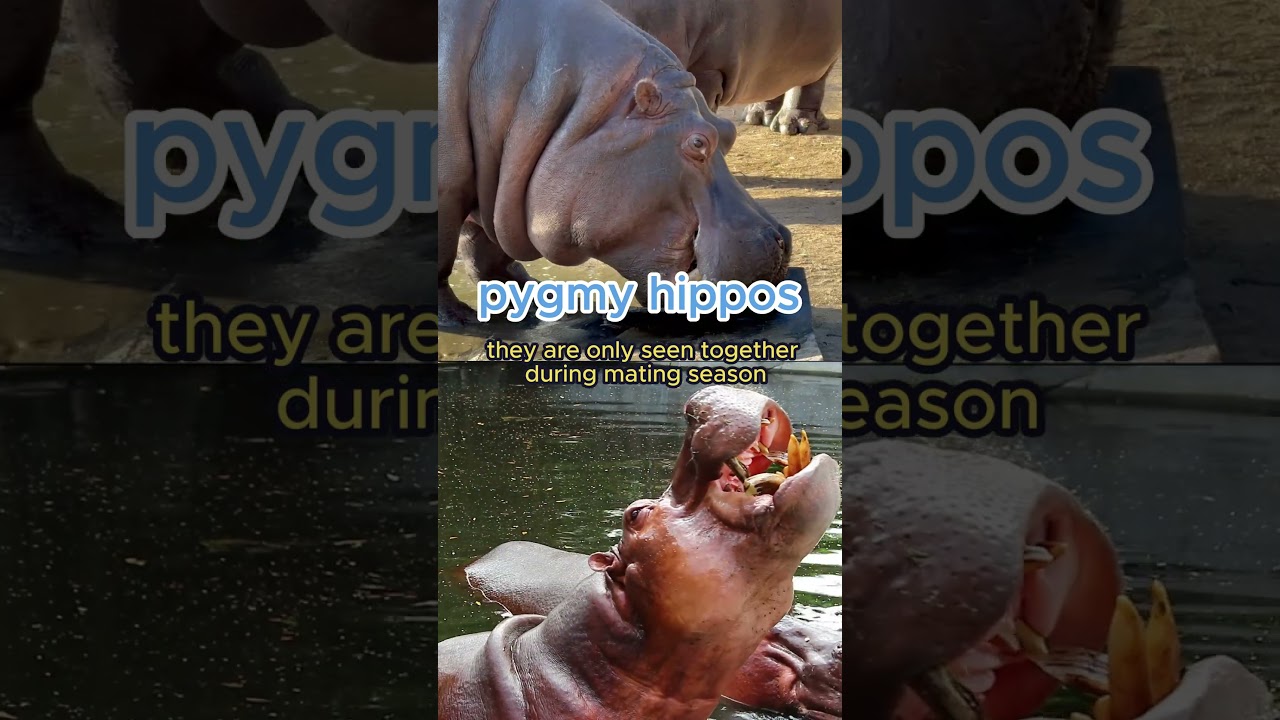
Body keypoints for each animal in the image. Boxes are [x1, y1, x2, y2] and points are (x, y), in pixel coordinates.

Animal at [438, 0, 793, 327]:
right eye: (698, 143)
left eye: (729, 130)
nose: (781, 240)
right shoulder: (448, 189)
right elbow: (445, 253)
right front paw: (459, 319)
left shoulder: (491, 178)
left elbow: (483, 245)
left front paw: (530, 298)